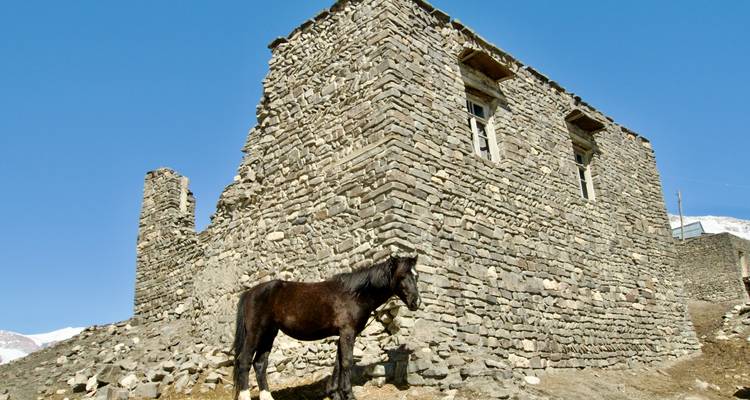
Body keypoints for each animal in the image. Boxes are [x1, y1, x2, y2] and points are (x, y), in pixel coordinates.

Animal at [233, 255, 421, 400]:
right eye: (402, 276)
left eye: (416, 276)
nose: (416, 302)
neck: (355, 294)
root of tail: (249, 292)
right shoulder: (347, 332)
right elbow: (347, 362)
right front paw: (348, 394)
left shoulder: (342, 335)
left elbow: (338, 363)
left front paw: (334, 393)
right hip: (255, 333)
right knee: (244, 361)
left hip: (268, 335)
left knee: (260, 364)